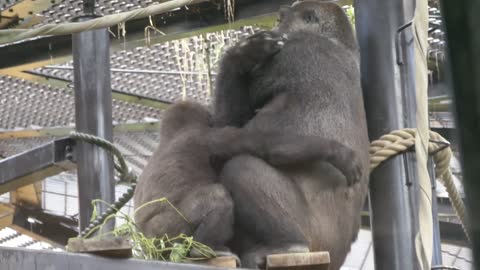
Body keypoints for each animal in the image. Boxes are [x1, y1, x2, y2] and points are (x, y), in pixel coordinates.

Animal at [133, 100, 362, 260]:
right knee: (217, 196)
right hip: (164, 234)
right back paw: (206, 249)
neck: (176, 131)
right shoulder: (215, 137)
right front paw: (339, 154)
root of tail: (145, 243)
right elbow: (271, 146)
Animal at [215, 1, 372, 268]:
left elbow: (241, 137)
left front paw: (240, 54)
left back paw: (288, 244)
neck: (337, 42)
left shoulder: (294, 53)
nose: (276, 25)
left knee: (241, 167)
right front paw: (246, 52)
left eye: (280, 20)